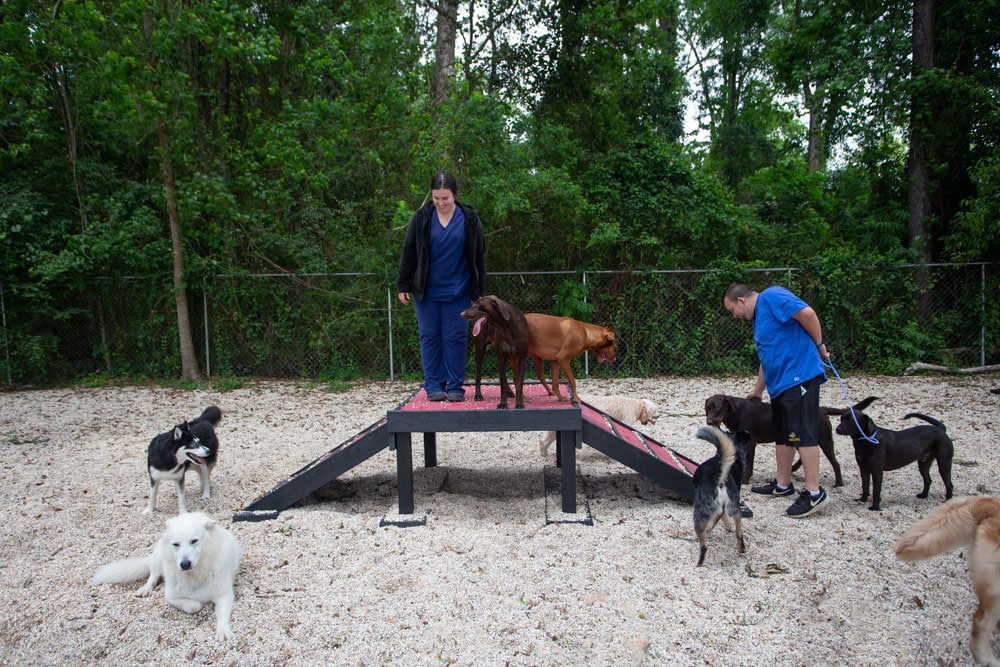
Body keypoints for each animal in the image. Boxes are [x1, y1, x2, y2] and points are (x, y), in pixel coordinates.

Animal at [93, 512, 242, 640]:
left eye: (194, 541)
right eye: (176, 544)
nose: (185, 564)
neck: (194, 573)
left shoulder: (224, 595)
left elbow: (222, 615)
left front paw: (222, 630)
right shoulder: (171, 595)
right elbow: (194, 606)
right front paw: (195, 603)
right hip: (159, 559)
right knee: (153, 575)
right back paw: (146, 588)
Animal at [704, 394, 876, 488]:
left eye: (718, 409)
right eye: (707, 409)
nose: (708, 421)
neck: (736, 412)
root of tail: (822, 409)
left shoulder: (750, 444)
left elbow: (749, 466)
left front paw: (745, 480)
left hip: (825, 440)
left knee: (835, 463)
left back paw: (838, 483)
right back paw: (794, 467)